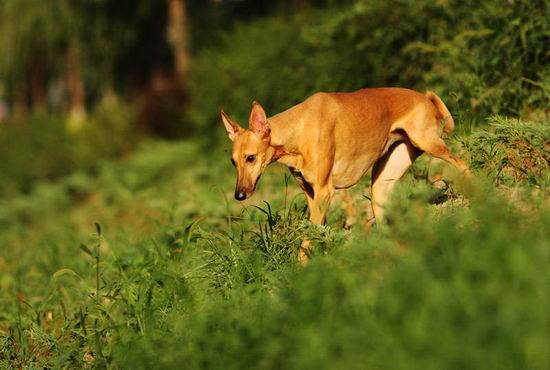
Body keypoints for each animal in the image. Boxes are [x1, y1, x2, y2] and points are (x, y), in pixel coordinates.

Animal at [222, 87, 472, 260]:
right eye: (233, 162)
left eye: (251, 157)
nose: (239, 195)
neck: (299, 128)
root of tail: (424, 97)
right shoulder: (312, 194)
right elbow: (317, 233)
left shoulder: (325, 191)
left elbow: (308, 239)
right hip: (381, 184)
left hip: (431, 144)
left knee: (462, 164)